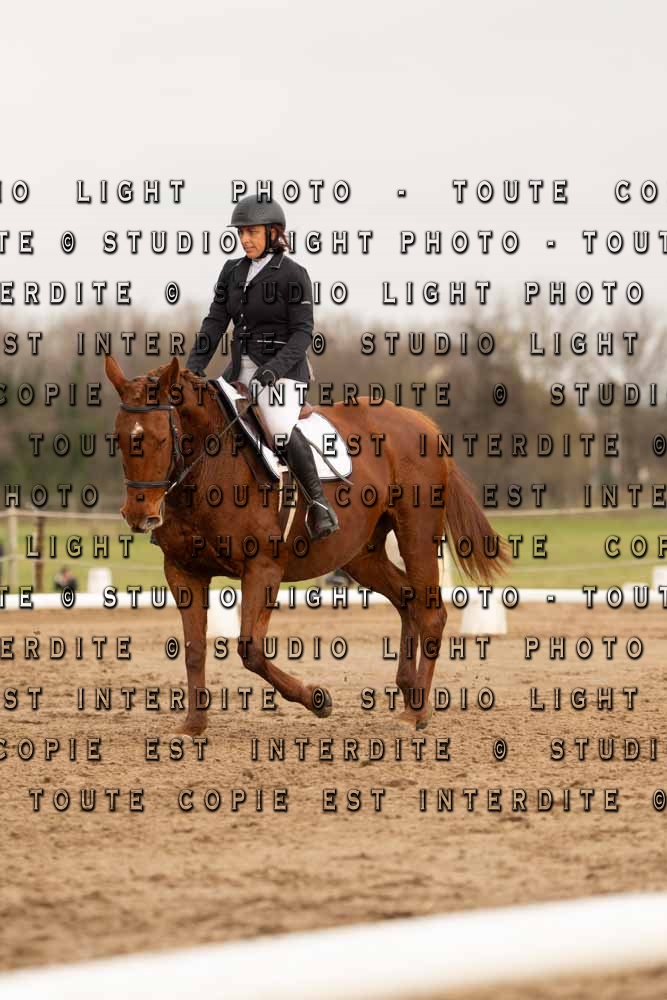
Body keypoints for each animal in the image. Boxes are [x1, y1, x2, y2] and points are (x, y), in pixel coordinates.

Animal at [105, 355, 509, 735]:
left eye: (160, 439)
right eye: (119, 439)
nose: (138, 516)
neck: (208, 468)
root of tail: (422, 423)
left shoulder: (263, 566)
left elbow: (250, 649)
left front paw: (318, 699)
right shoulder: (183, 571)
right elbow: (194, 649)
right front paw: (193, 725)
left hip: (416, 536)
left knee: (430, 612)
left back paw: (417, 712)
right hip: (360, 554)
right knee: (406, 598)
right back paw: (410, 694)